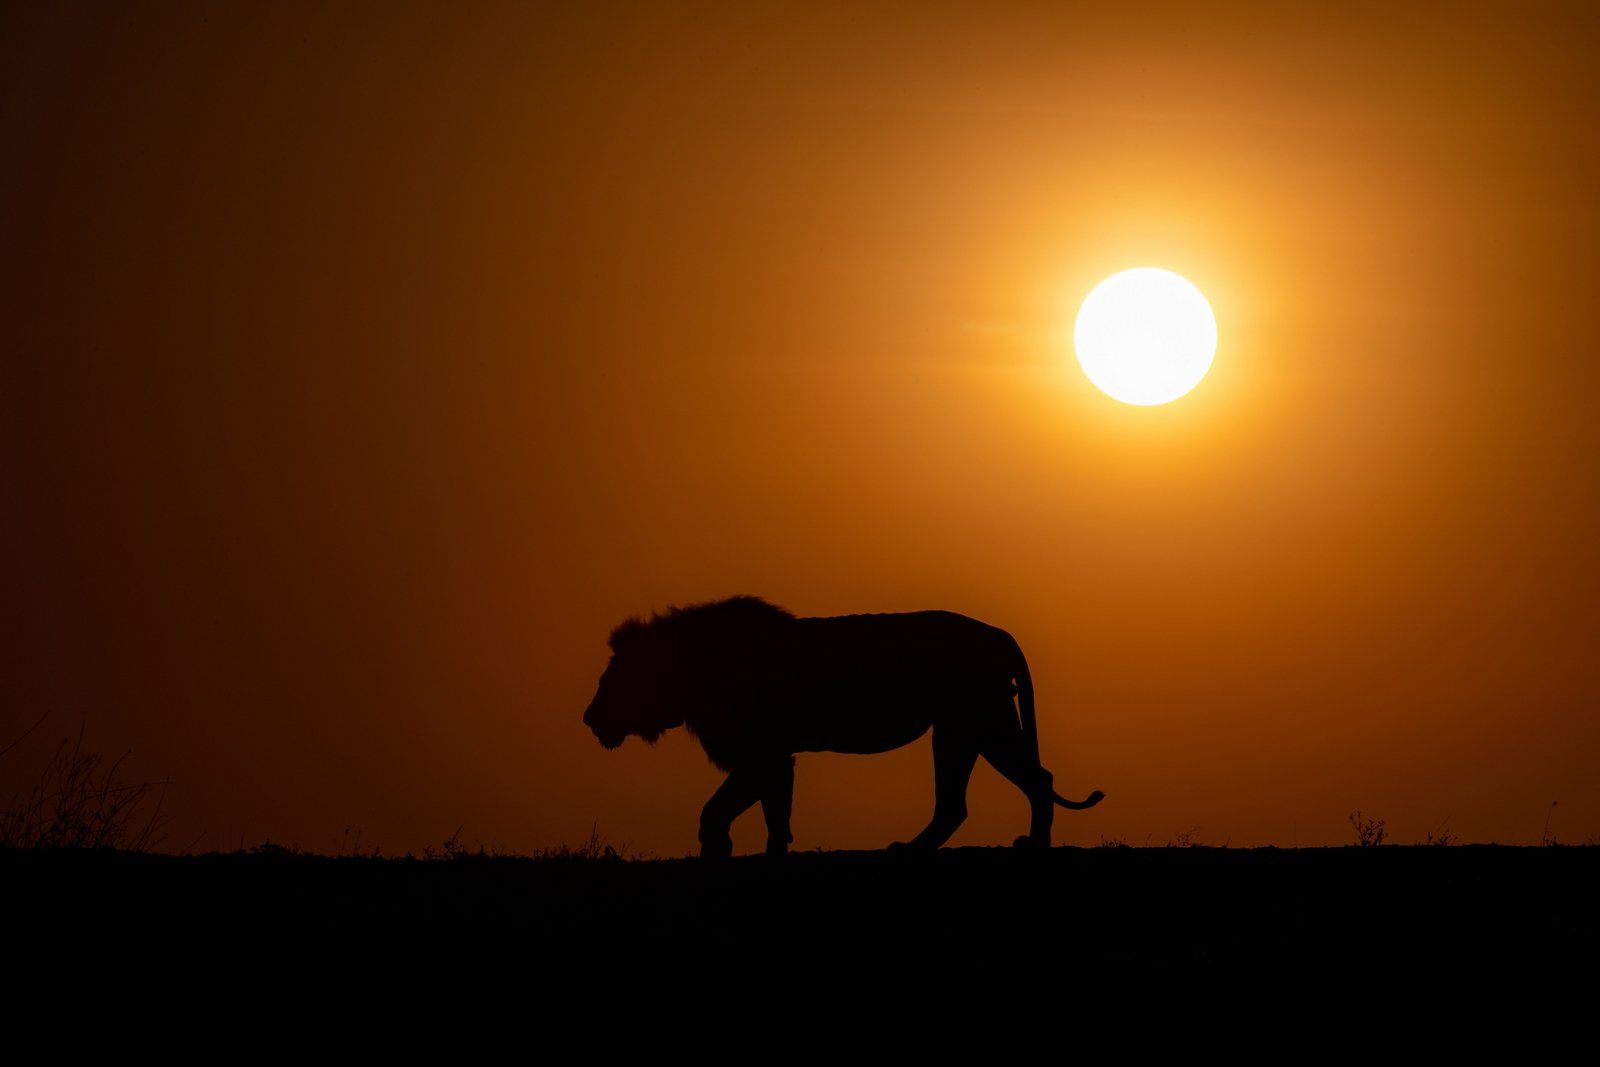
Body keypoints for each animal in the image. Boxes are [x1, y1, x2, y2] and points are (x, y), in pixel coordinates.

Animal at [582, 596, 1104, 858]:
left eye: (614, 679)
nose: (588, 718)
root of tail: (999, 633)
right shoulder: (776, 757)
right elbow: (775, 814)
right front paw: (771, 854)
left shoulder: (761, 752)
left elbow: (717, 809)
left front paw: (720, 848)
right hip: (977, 724)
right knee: (1000, 790)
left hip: (972, 722)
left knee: (1011, 787)